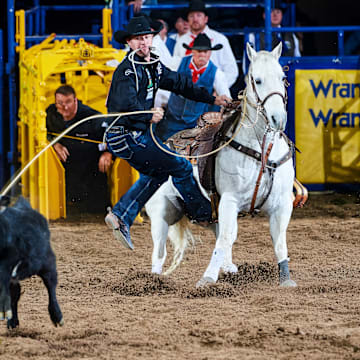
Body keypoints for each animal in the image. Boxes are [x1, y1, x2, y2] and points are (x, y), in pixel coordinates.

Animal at [145, 43, 296, 286]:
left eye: (282, 77)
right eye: (257, 80)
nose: (278, 119)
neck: (261, 150)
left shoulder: (282, 204)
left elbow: (279, 241)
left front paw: (286, 279)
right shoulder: (229, 201)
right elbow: (225, 238)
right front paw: (207, 279)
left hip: (205, 210)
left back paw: (229, 268)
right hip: (162, 211)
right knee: (159, 252)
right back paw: (153, 281)